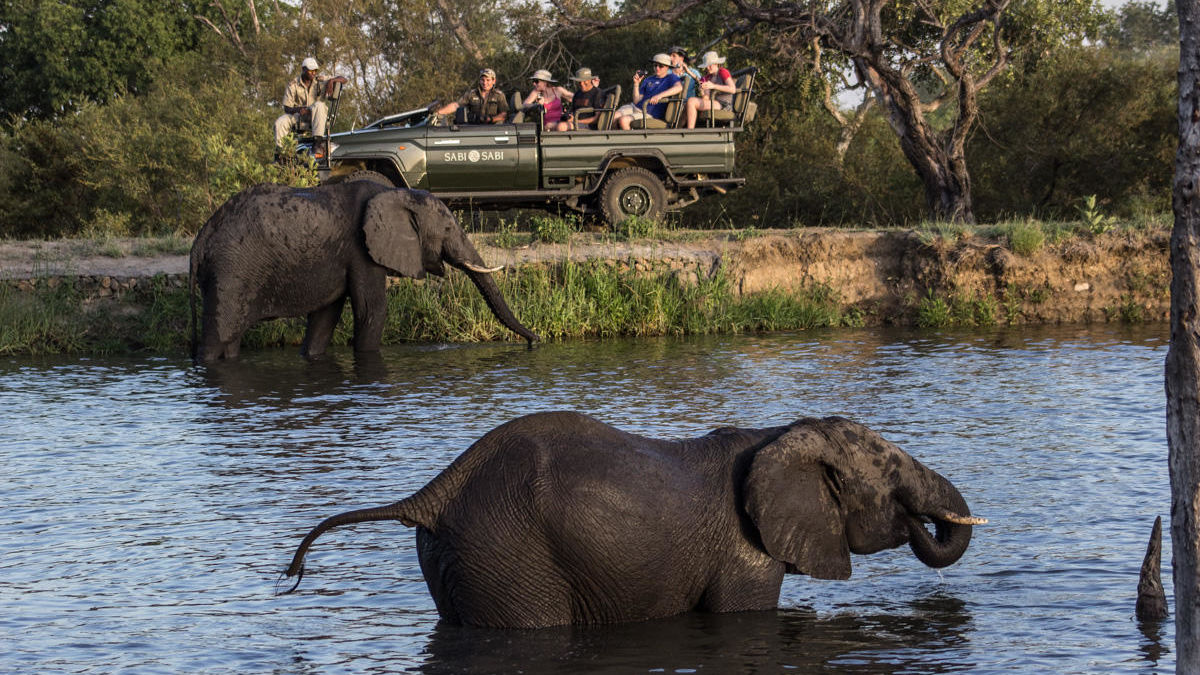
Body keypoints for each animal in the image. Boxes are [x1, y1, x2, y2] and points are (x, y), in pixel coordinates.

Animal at [186, 177, 535, 357]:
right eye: (448, 229)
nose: (535, 341)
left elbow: (325, 318)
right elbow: (371, 310)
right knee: (216, 338)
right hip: (230, 271)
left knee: (231, 339)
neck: (396, 194)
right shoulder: (362, 249)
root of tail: (200, 239)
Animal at [280, 410, 984, 624]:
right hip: (508, 554)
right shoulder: (744, 556)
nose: (925, 521)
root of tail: (436, 490)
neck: (781, 432)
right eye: (890, 474)